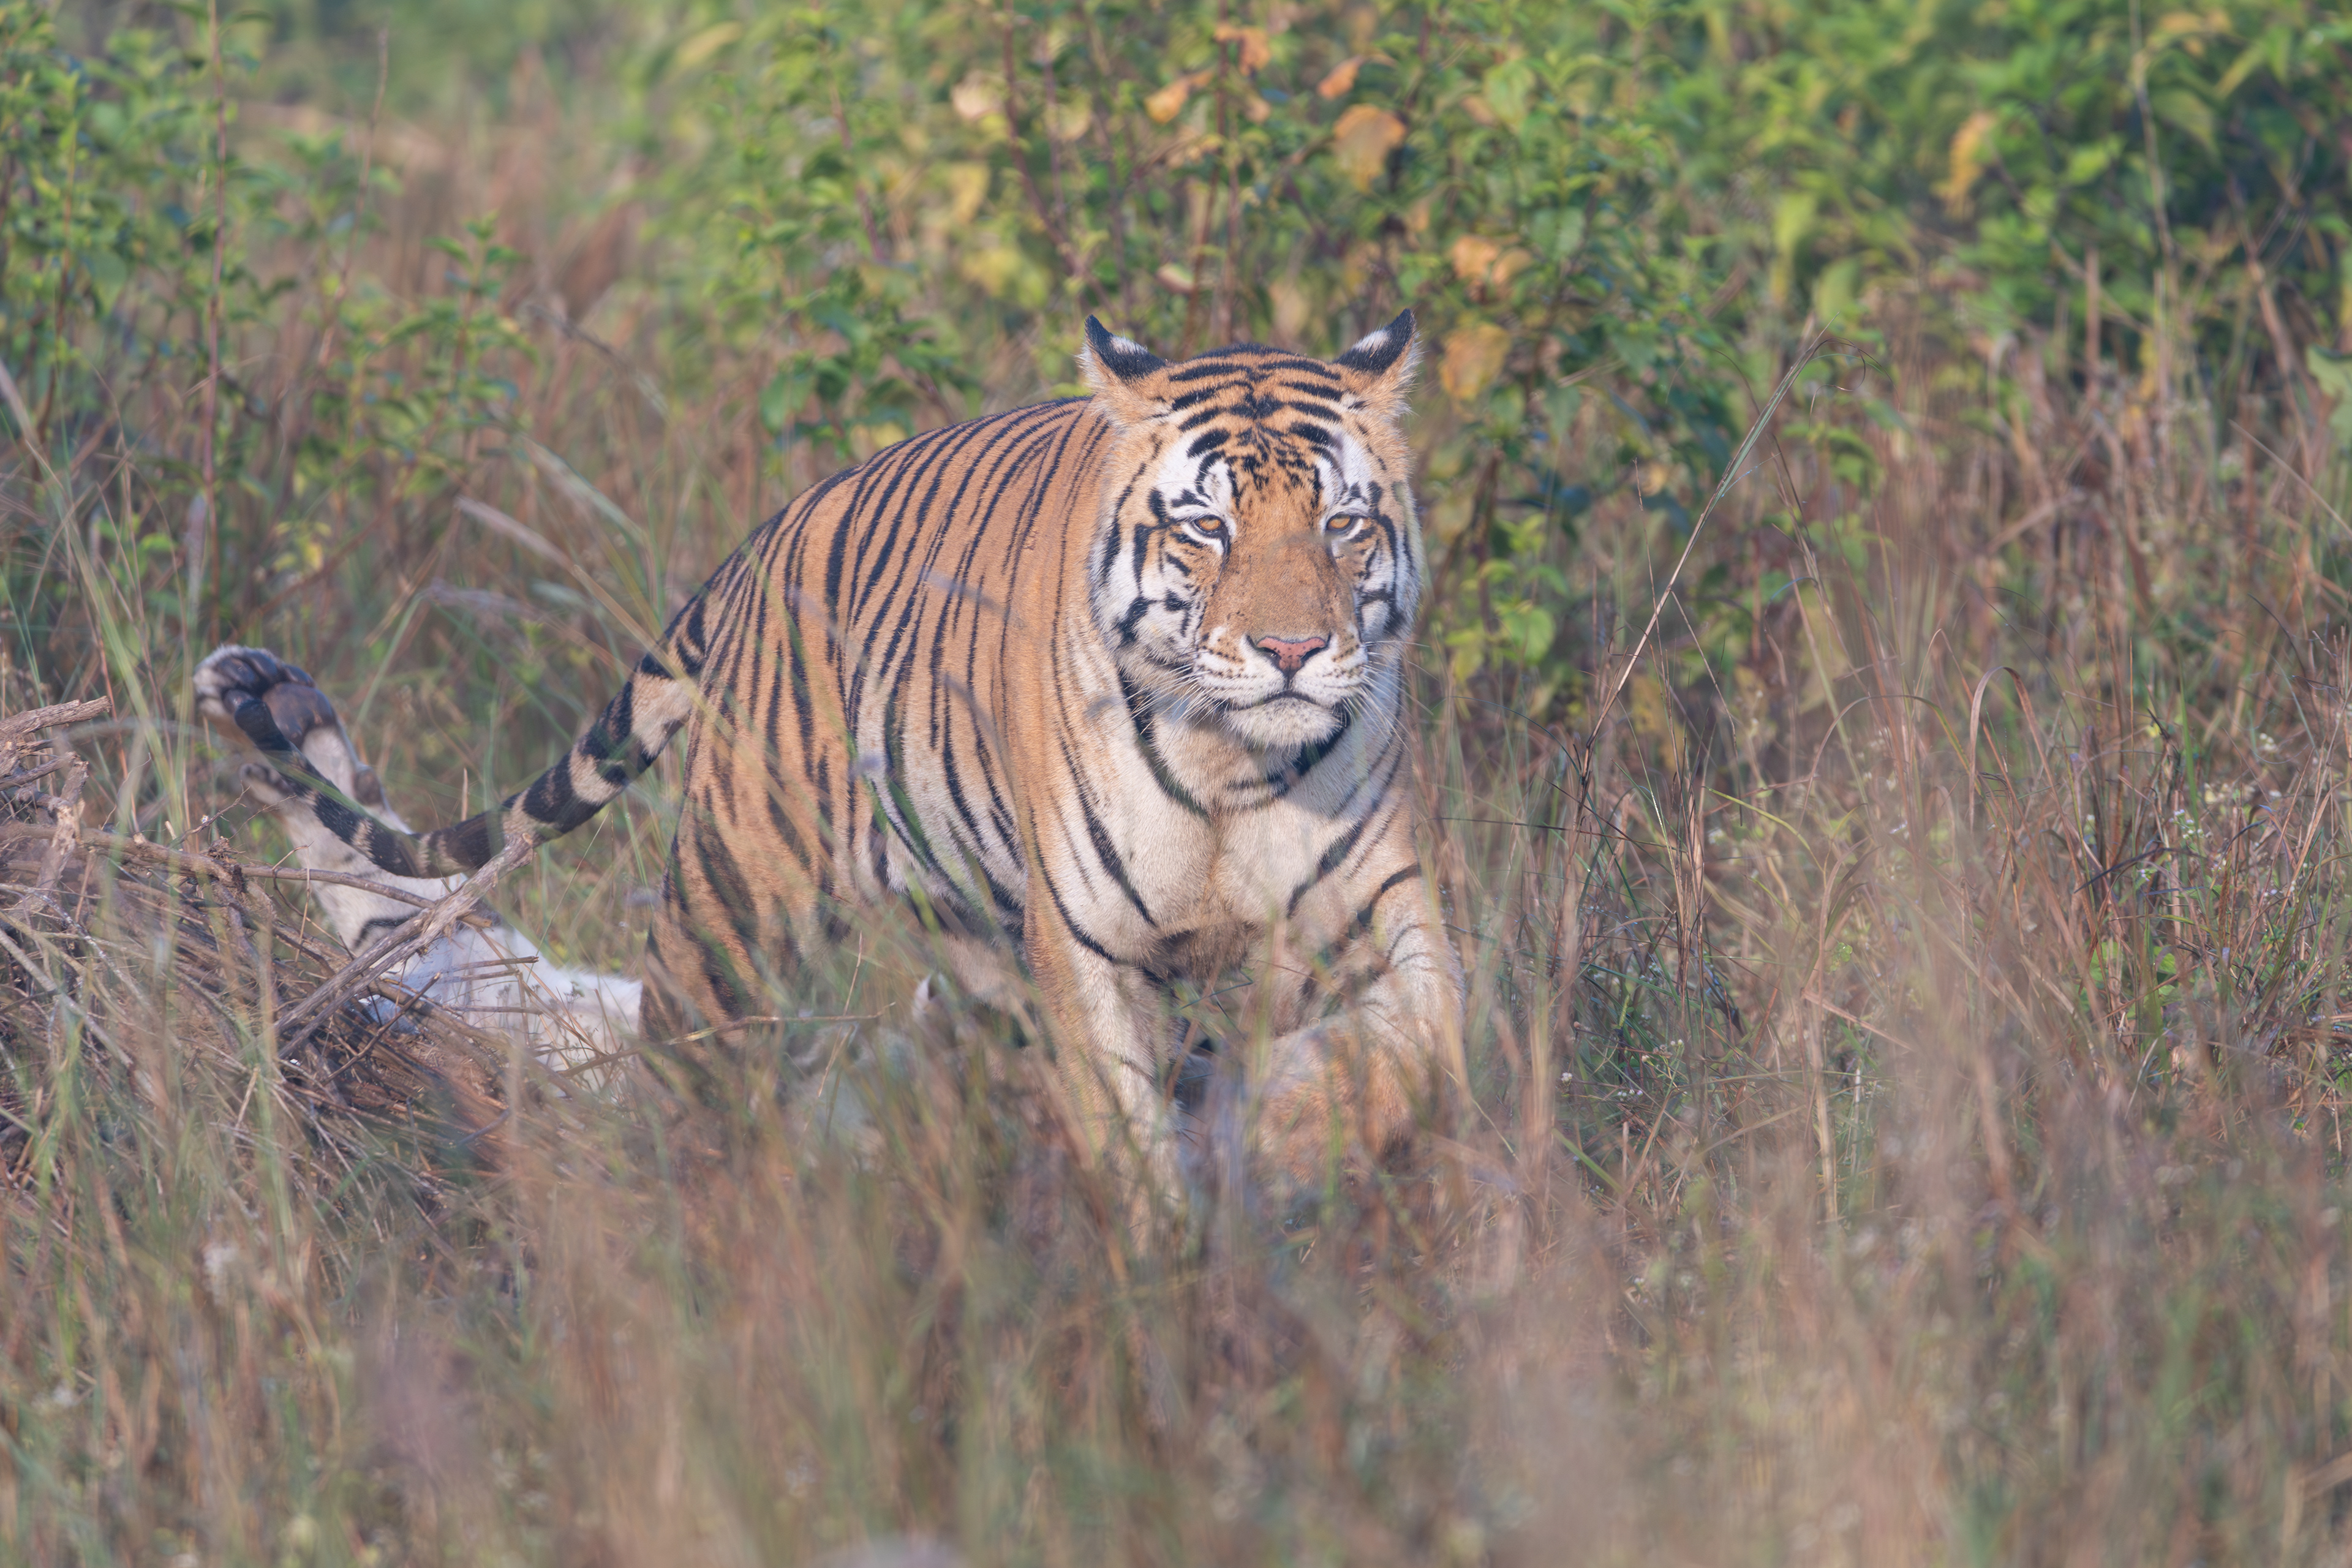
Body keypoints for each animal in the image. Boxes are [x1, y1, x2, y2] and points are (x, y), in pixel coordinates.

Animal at [200, 311, 1465, 1197]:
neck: (1232, 773)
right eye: (1208, 528)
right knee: (658, 1078)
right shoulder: (1091, 955)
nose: (1293, 650)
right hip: (732, 916)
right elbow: (1130, 1146)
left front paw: (1288, 1133)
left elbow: (1427, 1046)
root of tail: (766, 535)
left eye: (1343, 525)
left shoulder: (1387, 905)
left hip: (960, 978)